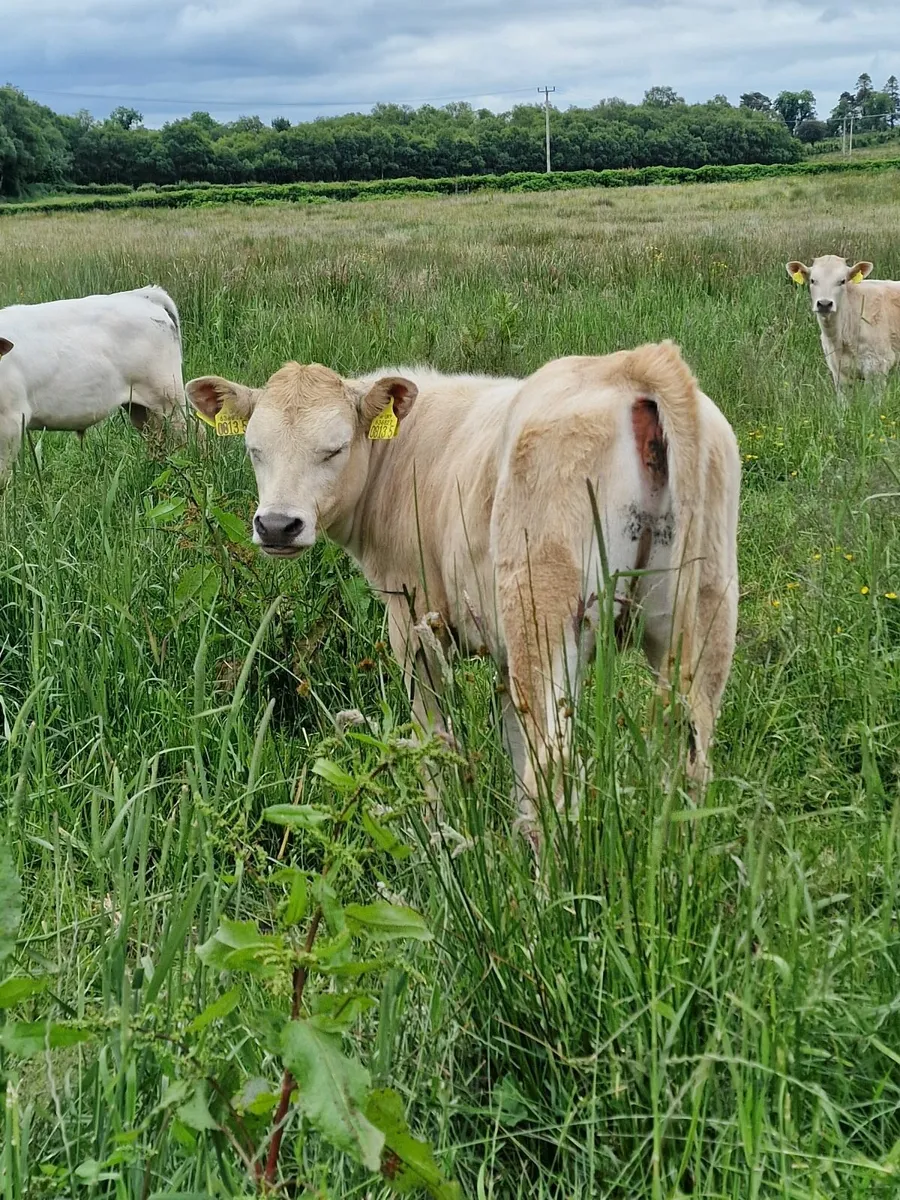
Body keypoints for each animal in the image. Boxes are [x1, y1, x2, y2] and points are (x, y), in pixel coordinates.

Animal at [186, 342, 740, 849]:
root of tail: (633, 365)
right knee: (689, 758)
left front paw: (436, 840)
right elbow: (511, 740)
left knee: (553, 762)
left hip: (542, 613)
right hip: (703, 616)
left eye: (335, 447)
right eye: (255, 449)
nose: (277, 525)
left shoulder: (413, 618)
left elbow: (433, 737)